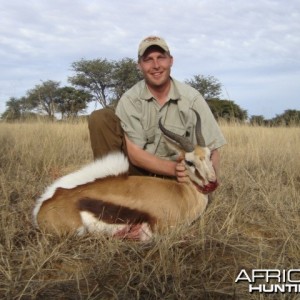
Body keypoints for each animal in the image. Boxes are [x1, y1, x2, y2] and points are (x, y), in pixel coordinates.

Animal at [33, 110, 218, 241]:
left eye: (209, 155)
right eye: (189, 162)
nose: (212, 182)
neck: (182, 194)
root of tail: (43, 206)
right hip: (78, 231)